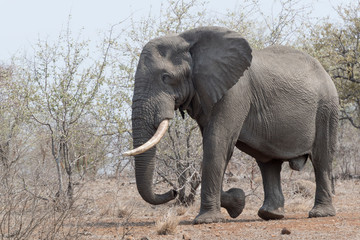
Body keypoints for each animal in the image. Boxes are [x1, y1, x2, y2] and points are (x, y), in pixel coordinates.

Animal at [123, 25, 338, 224]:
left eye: (166, 77)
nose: (174, 191)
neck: (188, 42)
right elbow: (217, 146)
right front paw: (237, 202)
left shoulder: (234, 92)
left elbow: (216, 142)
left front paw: (207, 220)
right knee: (269, 162)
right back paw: (271, 215)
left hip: (326, 109)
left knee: (321, 159)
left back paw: (320, 214)